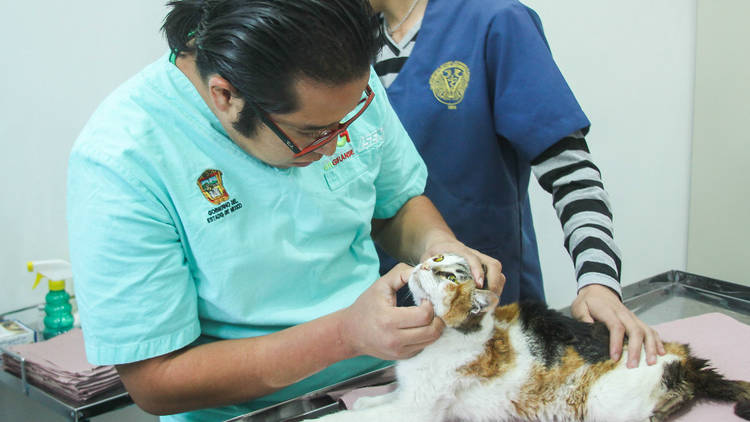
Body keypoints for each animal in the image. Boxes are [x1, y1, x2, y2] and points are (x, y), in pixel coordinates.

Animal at [314, 254, 750, 422]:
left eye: (447, 274)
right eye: (435, 259)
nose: (421, 264)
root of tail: (687, 359)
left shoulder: (418, 410)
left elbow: (352, 417)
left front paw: (344, 413)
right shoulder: (407, 397)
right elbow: (372, 403)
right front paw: (365, 399)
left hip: (606, 401)